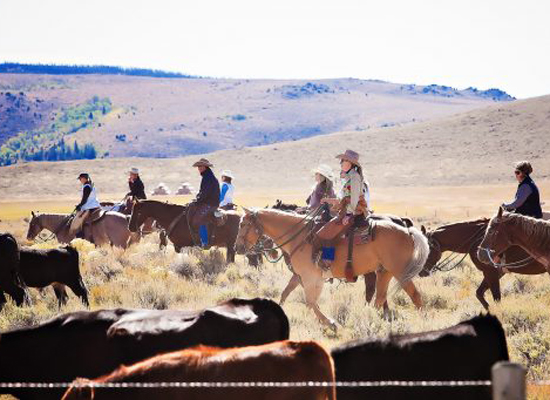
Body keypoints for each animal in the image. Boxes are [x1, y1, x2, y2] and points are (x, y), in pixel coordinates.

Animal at [234, 208, 432, 330]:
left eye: (243, 224)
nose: (237, 248)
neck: (300, 237)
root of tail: (408, 232)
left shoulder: (310, 276)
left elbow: (310, 302)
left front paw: (330, 323)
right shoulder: (300, 276)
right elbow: (286, 294)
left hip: (400, 272)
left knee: (415, 296)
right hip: (384, 272)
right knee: (380, 298)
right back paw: (369, 319)